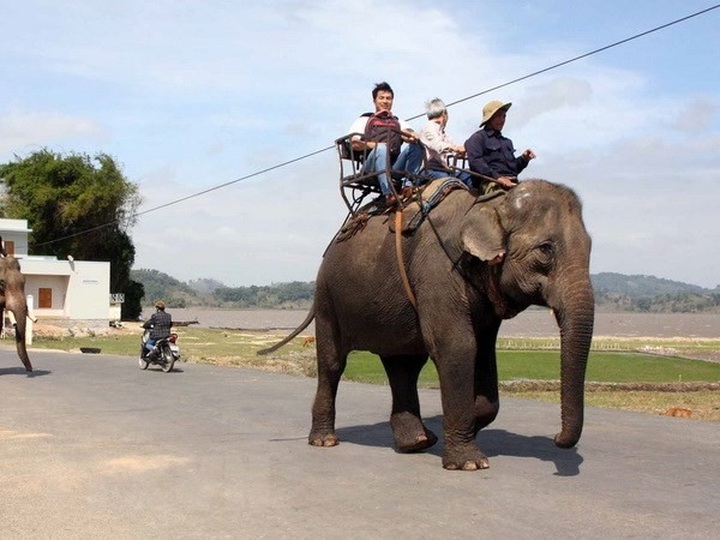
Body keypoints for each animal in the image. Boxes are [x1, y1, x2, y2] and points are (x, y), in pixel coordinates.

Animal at [259, 179, 594, 470]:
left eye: (591, 248)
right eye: (546, 249)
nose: (556, 437)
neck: (488, 202)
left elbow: (484, 352)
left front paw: (464, 422)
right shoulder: (439, 271)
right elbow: (458, 346)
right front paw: (470, 463)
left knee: (403, 366)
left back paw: (417, 441)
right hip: (328, 299)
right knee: (332, 364)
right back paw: (326, 441)